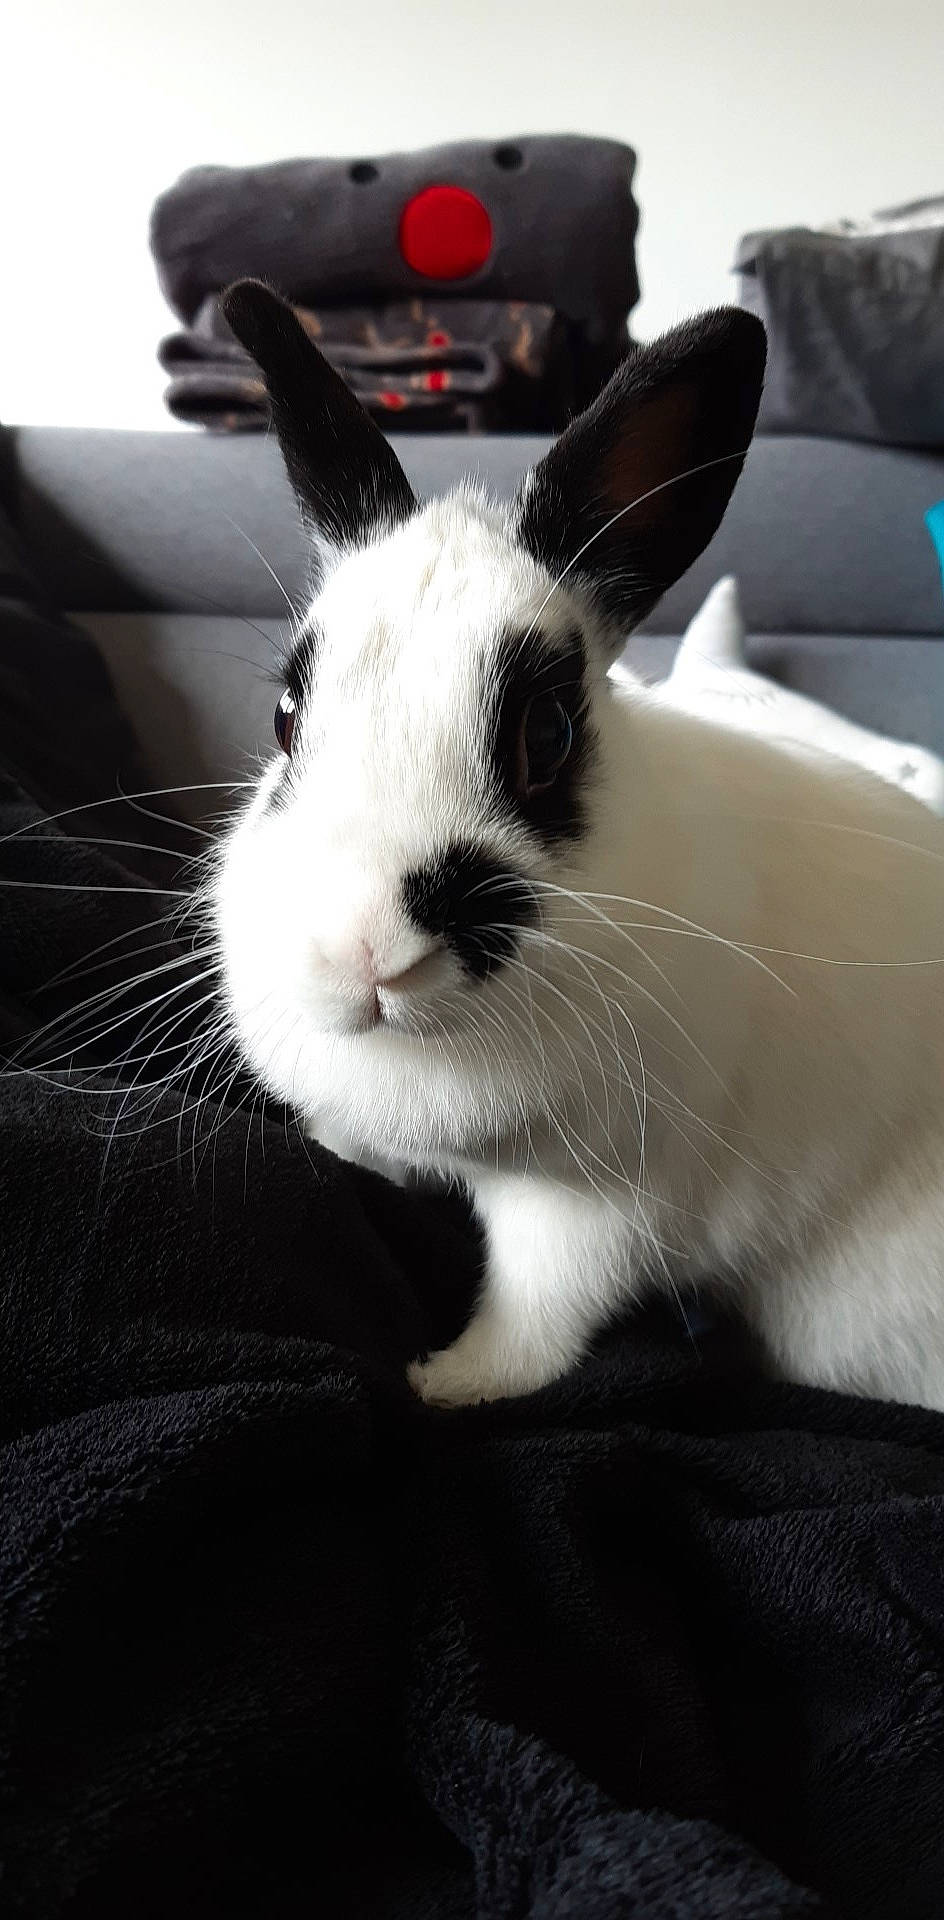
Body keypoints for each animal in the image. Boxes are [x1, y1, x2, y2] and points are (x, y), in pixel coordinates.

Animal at [212, 280, 944, 1412]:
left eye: (546, 736)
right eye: (285, 718)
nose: (362, 949)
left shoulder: (595, 1206)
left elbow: (537, 1321)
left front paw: (442, 1382)